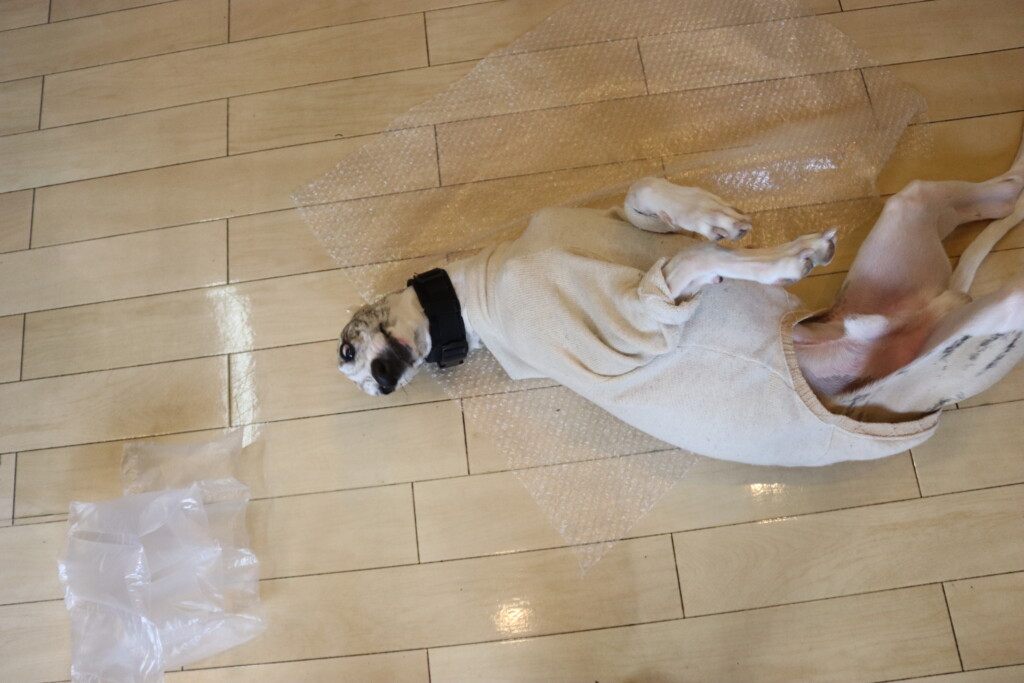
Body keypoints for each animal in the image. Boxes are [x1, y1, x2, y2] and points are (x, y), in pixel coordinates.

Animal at [337, 135, 1024, 467]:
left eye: (345, 350)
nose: (380, 384)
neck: (477, 288)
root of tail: (947, 299)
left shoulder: (629, 228)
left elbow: (648, 195)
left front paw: (713, 217)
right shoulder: (632, 329)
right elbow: (693, 264)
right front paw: (787, 258)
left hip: (913, 208)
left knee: (997, 194)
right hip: (954, 346)